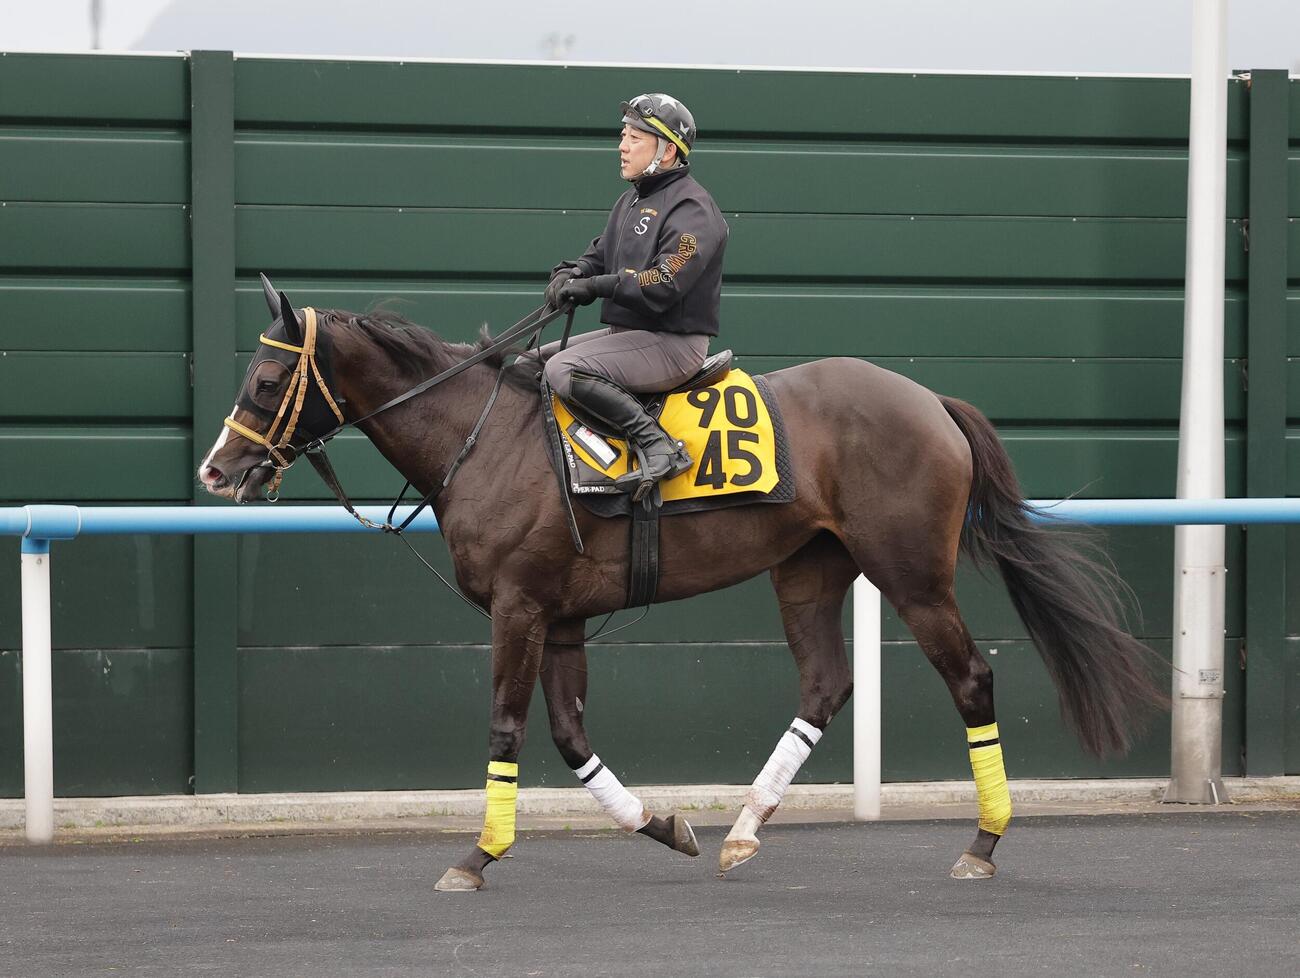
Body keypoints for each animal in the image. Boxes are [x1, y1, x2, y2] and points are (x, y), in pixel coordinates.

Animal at [198, 277, 1165, 892]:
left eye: (268, 377)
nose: (216, 470)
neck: (484, 437)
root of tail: (931, 402)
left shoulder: (519, 607)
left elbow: (509, 726)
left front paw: (476, 857)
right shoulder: (562, 617)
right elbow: (569, 736)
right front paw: (664, 826)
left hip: (912, 574)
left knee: (970, 679)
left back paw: (984, 843)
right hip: (809, 570)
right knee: (825, 684)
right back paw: (743, 829)